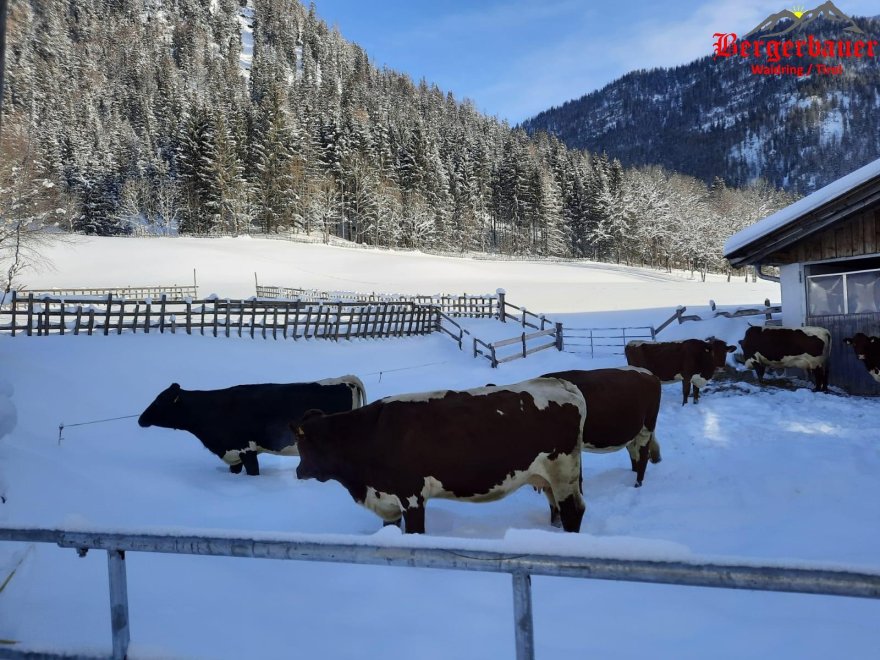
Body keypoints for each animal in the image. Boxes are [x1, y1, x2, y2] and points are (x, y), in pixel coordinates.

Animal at [293, 378, 587, 534]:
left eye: (302, 444)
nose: (299, 471)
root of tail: (558, 382)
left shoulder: (411, 496)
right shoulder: (387, 501)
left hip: (562, 472)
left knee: (573, 511)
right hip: (548, 478)